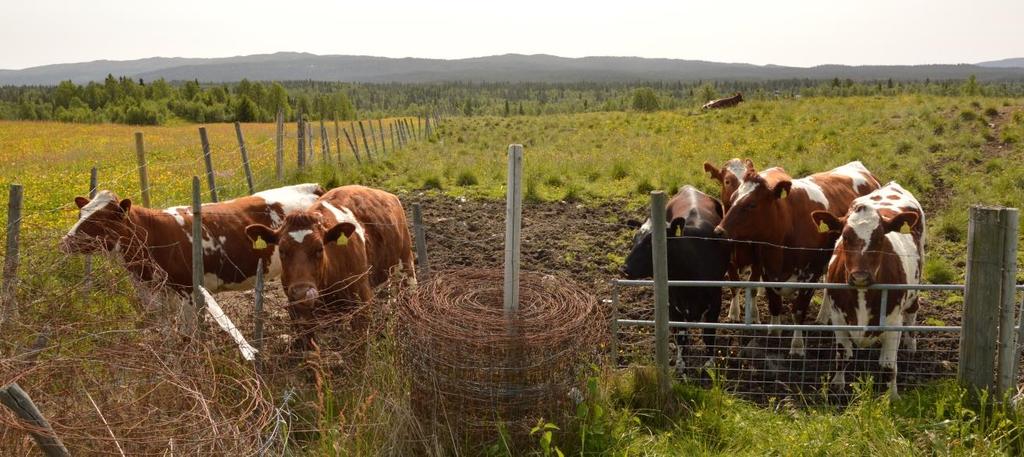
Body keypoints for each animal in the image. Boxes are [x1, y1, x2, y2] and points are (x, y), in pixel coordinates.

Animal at [59, 183, 323, 309]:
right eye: (82, 212)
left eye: (101, 220)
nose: (66, 241)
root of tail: (312, 186)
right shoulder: (154, 293)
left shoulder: (186, 291)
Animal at [241, 183, 413, 348]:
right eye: (281, 250)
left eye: (319, 248)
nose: (302, 293)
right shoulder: (299, 314)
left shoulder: (362, 305)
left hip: (406, 263)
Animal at [618, 184, 733, 366]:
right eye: (634, 239)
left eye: (651, 243)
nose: (624, 269)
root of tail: (689, 188)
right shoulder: (672, 303)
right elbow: (681, 337)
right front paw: (681, 364)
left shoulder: (715, 301)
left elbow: (708, 334)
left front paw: (709, 363)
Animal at [712, 162, 880, 354]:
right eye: (732, 199)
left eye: (752, 204)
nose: (719, 231)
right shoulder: (767, 272)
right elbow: (775, 305)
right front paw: (774, 334)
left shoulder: (810, 276)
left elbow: (799, 311)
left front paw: (797, 346)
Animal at [811, 182, 925, 395]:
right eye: (845, 237)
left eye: (880, 238)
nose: (860, 276)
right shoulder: (838, 318)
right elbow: (843, 354)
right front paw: (837, 385)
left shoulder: (893, 323)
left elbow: (889, 366)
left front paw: (892, 396)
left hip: (915, 286)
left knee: (913, 311)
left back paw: (911, 344)